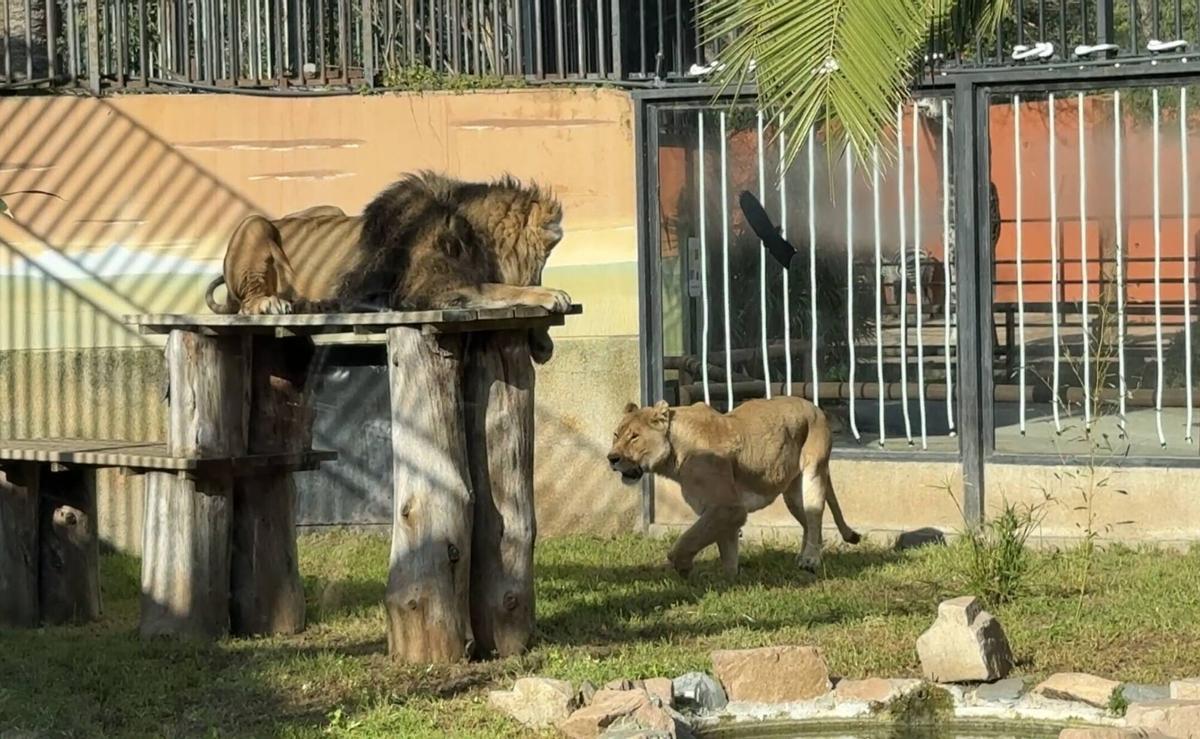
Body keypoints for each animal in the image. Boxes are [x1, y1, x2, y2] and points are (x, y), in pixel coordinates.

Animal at [203, 171, 573, 363]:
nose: (544, 346)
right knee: (247, 303)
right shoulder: (432, 291)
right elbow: (502, 288)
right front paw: (552, 294)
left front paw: (542, 341)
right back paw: (272, 303)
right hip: (253, 224)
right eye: (544, 261)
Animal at [607, 397, 861, 578]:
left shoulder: (727, 507)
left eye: (634, 437)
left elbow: (688, 539)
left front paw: (684, 568)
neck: (675, 453)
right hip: (793, 494)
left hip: (813, 473)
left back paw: (810, 560)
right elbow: (726, 548)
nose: (611, 458)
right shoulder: (724, 511)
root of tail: (816, 407)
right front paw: (731, 581)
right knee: (809, 523)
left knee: (816, 517)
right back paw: (803, 558)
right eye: (616, 434)